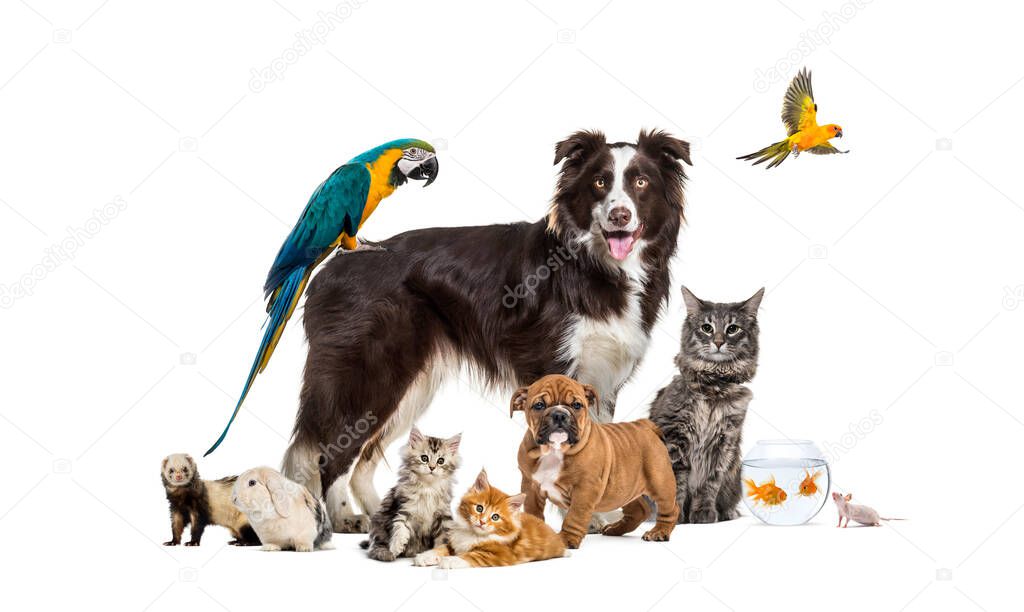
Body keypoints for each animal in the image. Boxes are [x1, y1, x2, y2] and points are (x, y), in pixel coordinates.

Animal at [284, 130, 692, 532]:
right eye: (599, 182)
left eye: (641, 182)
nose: (619, 215)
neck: (593, 265)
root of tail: (329, 267)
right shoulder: (556, 366)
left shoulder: (603, 377)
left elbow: (597, 446)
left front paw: (601, 516)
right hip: (372, 374)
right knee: (333, 451)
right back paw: (344, 516)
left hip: (411, 386)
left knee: (365, 459)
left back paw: (385, 516)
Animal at [358, 429, 458, 564]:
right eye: (424, 458)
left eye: (440, 461)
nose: (432, 467)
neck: (428, 487)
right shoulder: (405, 509)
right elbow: (400, 527)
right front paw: (397, 546)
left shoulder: (442, 517)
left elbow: (442, 540)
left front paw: (433, 555)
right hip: (379, 524)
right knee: (376, 546)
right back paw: (387, 554)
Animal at [409, 470, 569, 569]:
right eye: (479, 508)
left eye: (495, 517)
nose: (482, 522)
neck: (474, 534)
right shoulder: (455, 542)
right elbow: (441, 548)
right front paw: (425, 556)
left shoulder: (501, 554)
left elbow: (471, 555)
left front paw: (451, 560)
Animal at [512, 374, 679, 552]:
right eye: (539, 405)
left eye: (576, 405)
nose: (559, 414)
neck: (554, 450)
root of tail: (645, 425)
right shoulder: (531, 487)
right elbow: (533, 512)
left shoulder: (584, 489)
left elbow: (574, 516)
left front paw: (566, 539)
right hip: (625, 489)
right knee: (638, 510)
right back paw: (615, 529)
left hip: (660, 482)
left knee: (671, 509)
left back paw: (659, 532)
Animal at [647, 286, 761, 521]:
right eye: (706, 328)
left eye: (732, 329)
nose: (718, 342)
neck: (715, 386)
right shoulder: (675, 437)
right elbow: (676, 483)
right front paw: (675, 516)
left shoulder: (724, 442)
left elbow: (709, 483)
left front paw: (703, 513)